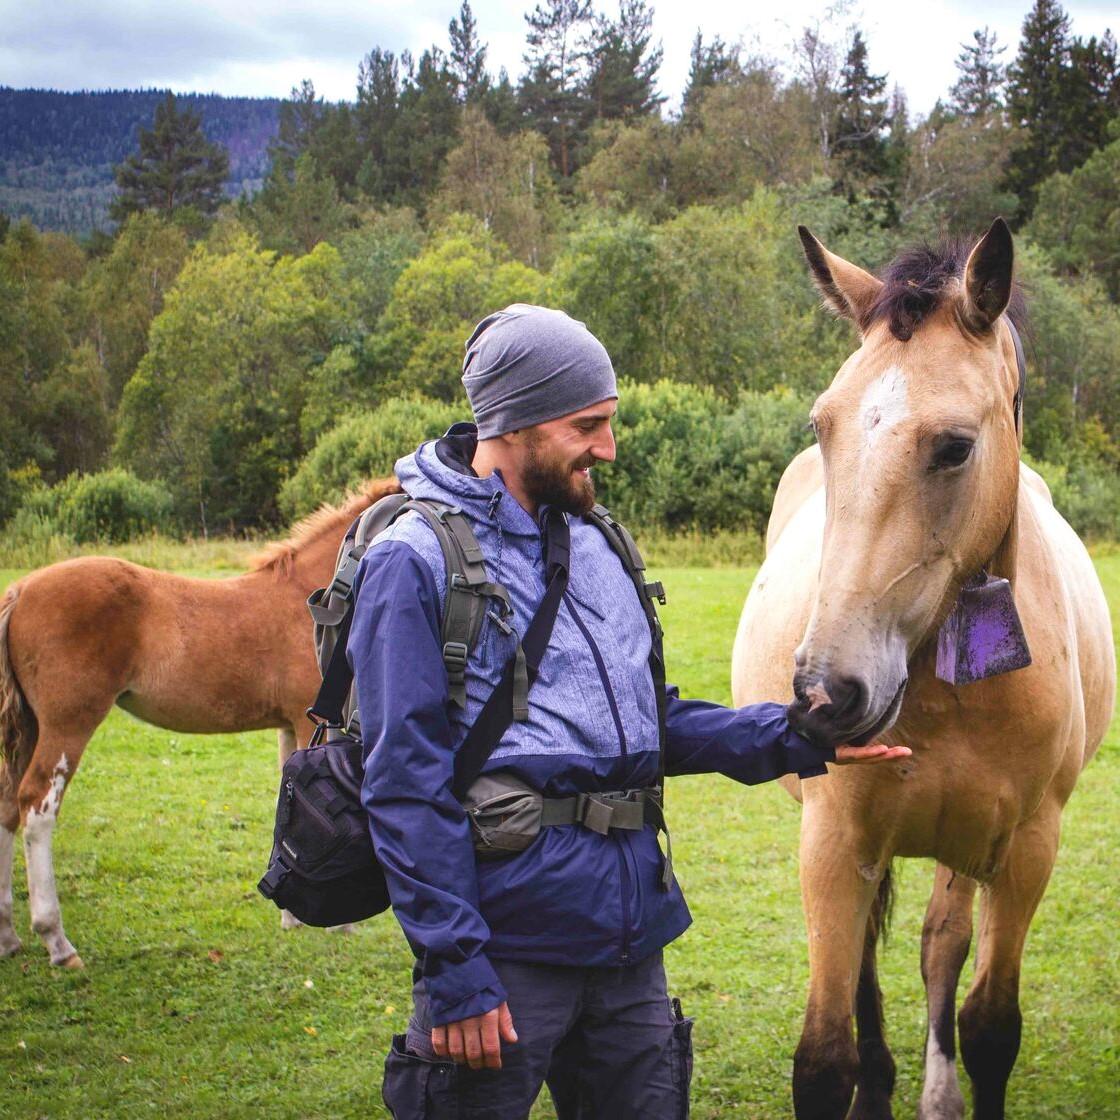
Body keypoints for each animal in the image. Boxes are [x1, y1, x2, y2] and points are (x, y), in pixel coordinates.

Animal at [0, 472, 400, 963]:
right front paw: (338, 921)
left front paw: (291, 916)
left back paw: (9, 936)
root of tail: (19, 591)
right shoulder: (313, 721)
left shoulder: (289, 726)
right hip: (67, 723)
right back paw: (56, 940)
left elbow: (288, 806)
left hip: (30, 727)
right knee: (37, 807)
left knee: (7, 805)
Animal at [734, 220, 1111, 1120]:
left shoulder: (1026, 849)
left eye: (954, 446)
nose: (825, 694)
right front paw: (862, 1081)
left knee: (942, 946)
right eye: (824, 426)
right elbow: (824, 1058)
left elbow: (990, 1026)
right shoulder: (835, 845)